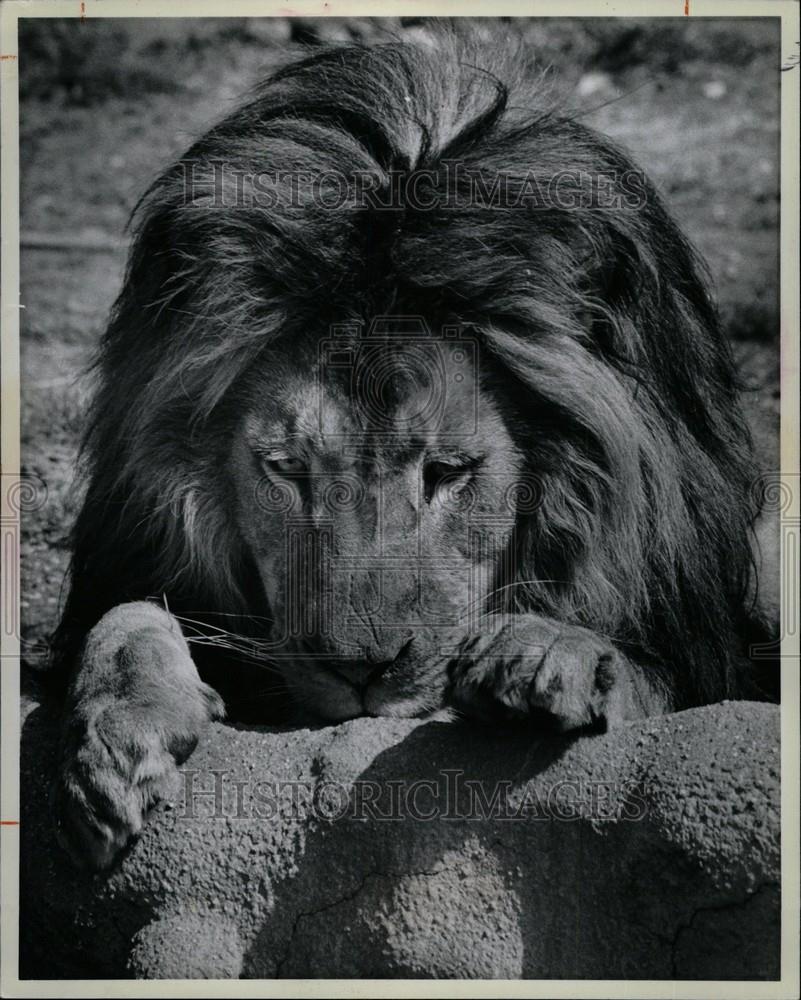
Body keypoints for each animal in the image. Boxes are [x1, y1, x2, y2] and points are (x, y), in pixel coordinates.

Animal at [50, 23, 776, 868]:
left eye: (448, 472)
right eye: (286, 469)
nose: (362, 672)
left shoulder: (707, 651)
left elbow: (644, 677)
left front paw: (546, 656)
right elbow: (123, 614)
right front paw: (119, 738)